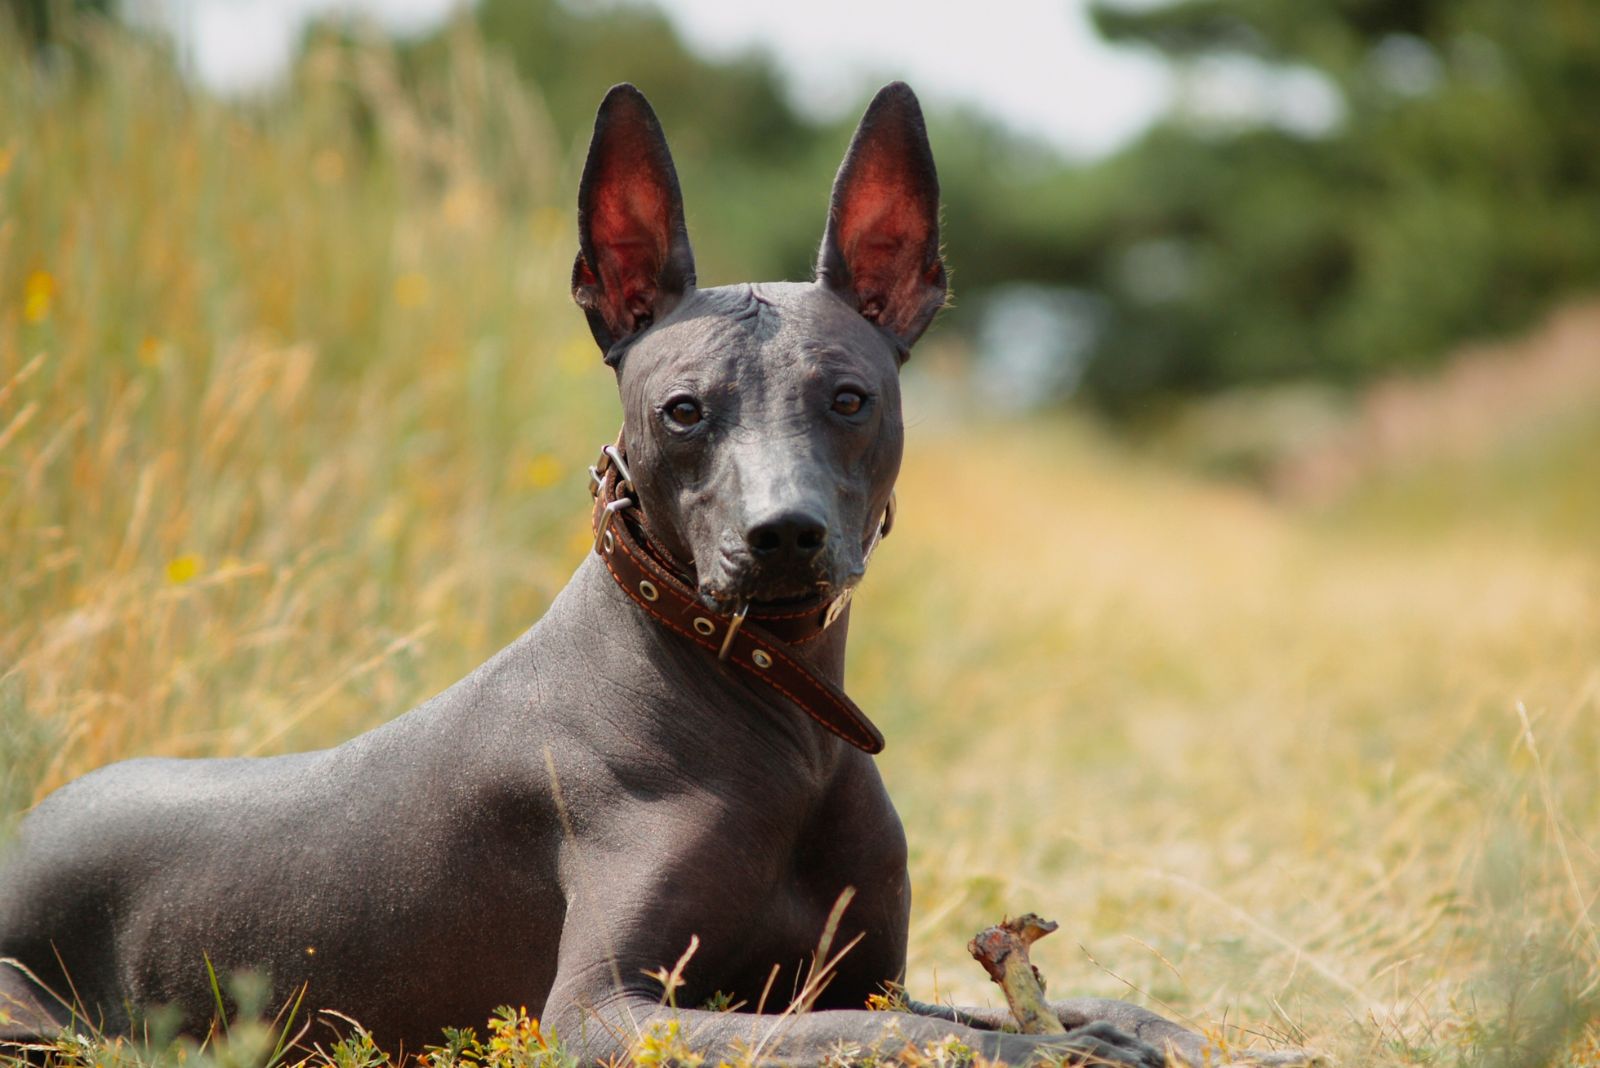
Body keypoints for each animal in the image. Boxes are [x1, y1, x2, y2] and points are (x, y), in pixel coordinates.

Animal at [0, 85, 1312, 1068]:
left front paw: (1144, 1028)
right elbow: (903, 1039)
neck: (779, 721)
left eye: (851, 399)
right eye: (683, 411)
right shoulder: (606, 1011)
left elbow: (1035, 1006)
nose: (783, 535)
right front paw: (1057, 1048)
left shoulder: (863, 975)